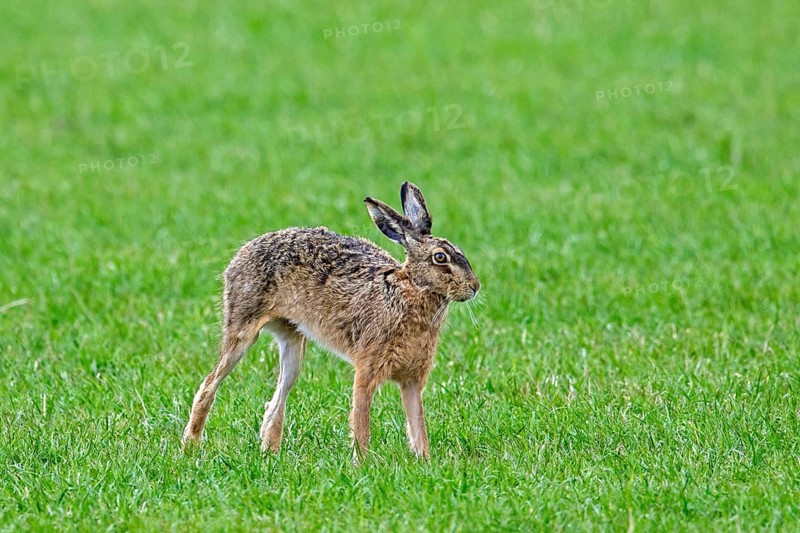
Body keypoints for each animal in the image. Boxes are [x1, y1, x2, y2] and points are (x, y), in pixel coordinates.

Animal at [182, 181, 480, 460]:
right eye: (440, 258)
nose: (475, 287)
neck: (411, 289)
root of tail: (243, 252)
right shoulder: (367, 368)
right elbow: (361, 422)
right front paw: (362, 465)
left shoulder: (412, 380)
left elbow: (418, 426)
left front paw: (424, 461)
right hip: (242, 327)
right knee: (209, 385)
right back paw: (191, 446)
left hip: (293, 343)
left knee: (277, 399)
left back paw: (270, 453)